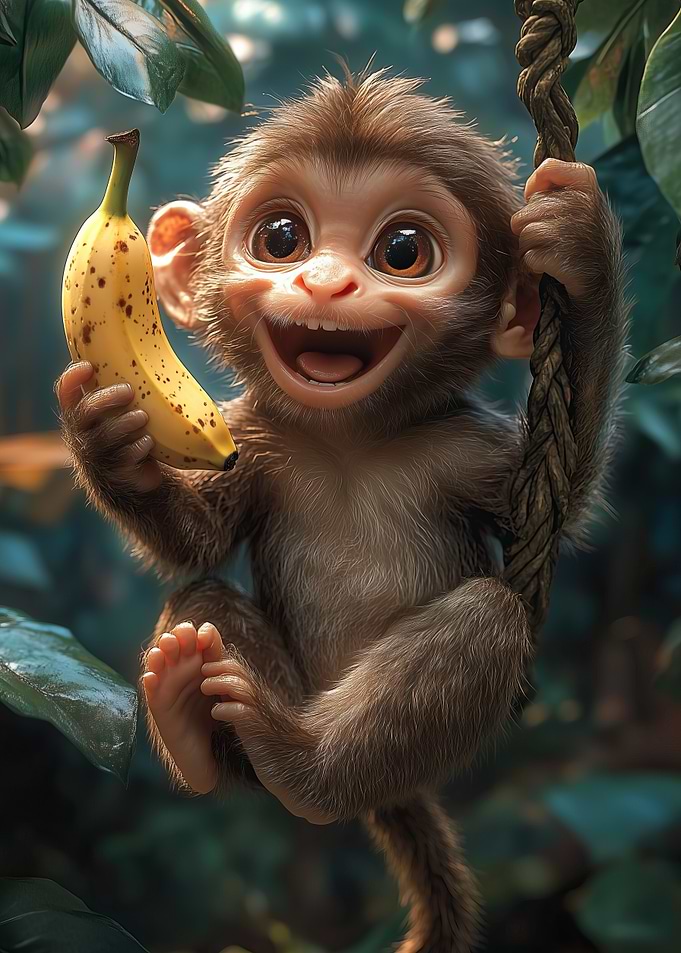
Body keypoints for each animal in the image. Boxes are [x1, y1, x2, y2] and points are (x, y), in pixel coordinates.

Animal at [57, 68, 628, 952]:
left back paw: (300, 766)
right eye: (282, 237)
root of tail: (377, 792)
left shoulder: (463, 447)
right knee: (201, 604)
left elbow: (563, 505)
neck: (346, 441)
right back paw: (189, 718)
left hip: (401, 747)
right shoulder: (255, 441)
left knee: (487, 617)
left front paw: (581, 249)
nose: (326, 283)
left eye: (401, 251)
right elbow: (199, 544)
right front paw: (106, 439)